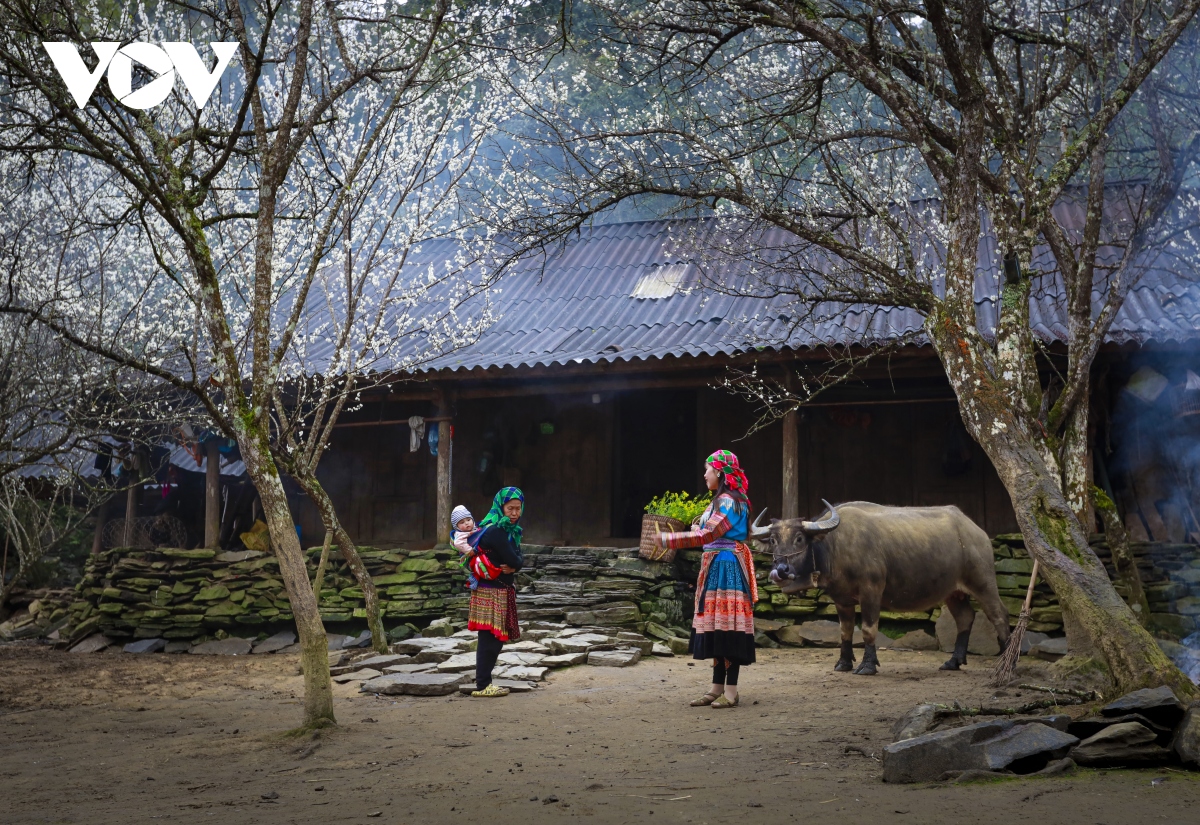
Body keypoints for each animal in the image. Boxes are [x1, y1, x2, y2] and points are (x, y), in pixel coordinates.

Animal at [763, 498, 1008, 671]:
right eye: (773, 540)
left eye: (799, 538)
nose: (781, 570)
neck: (836, 547)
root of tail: (976, 531)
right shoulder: (842, 599)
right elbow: (845, 630)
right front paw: (844, 663)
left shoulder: (871, 592)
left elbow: (868, 629)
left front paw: (868, 665)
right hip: (953, 592)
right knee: (965, 617)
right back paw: (953, 661)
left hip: (983, 581)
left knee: (999, 614)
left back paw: (1006, 657)